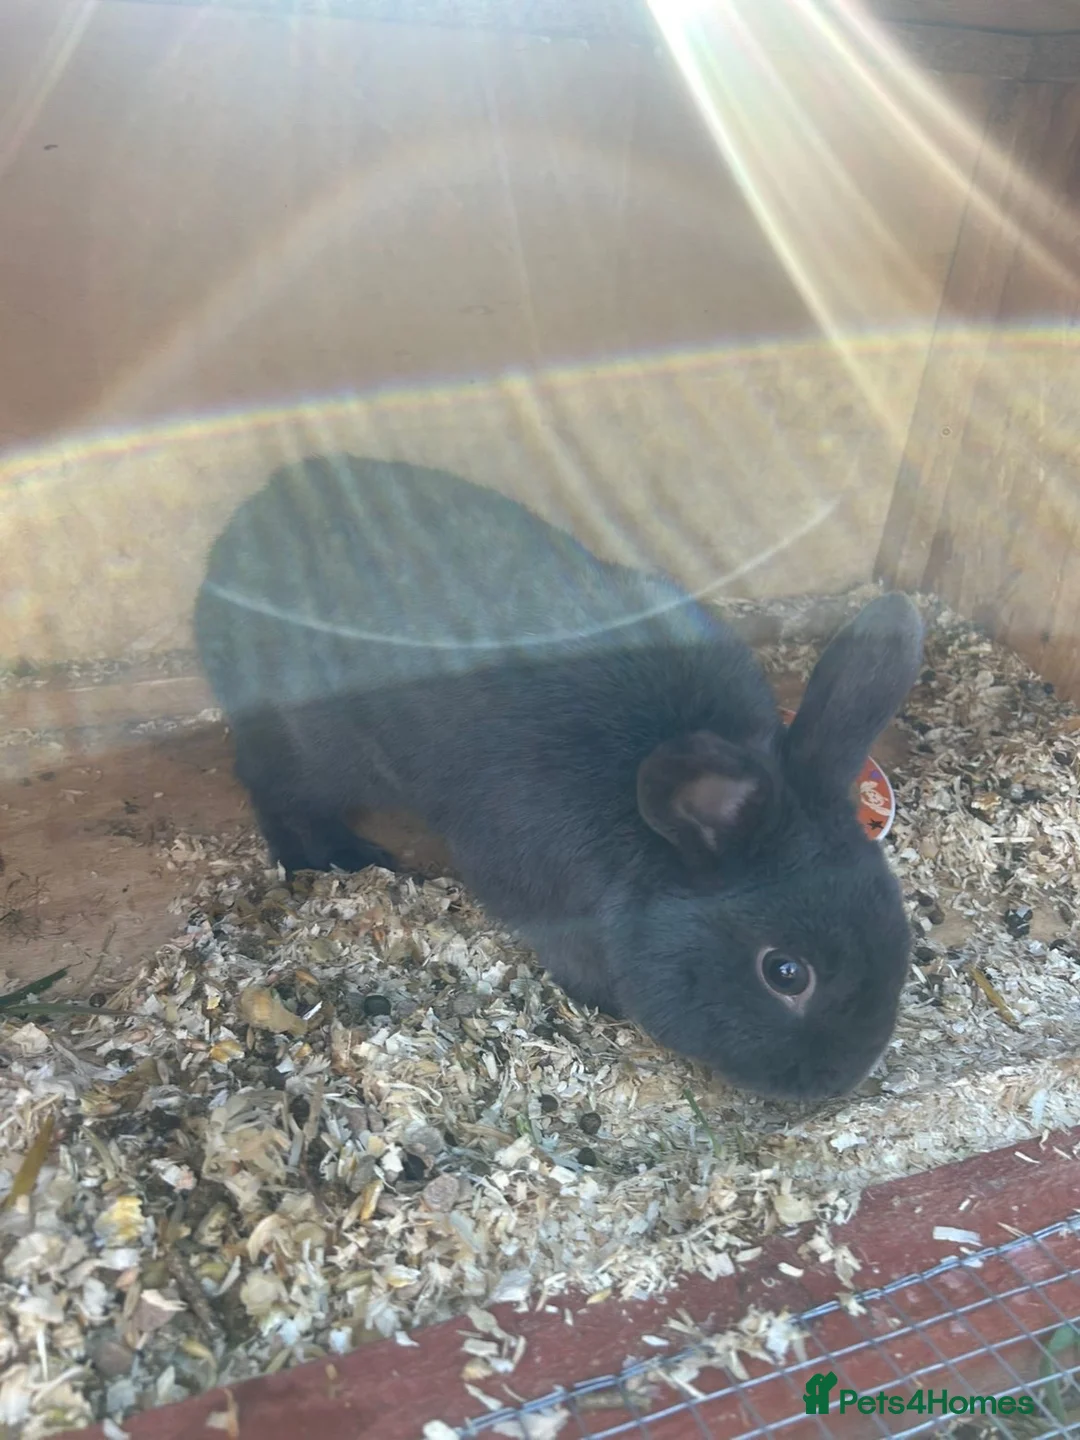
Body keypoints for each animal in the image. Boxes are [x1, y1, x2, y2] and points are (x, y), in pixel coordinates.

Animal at [194, 452, 923, 1102]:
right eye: (785, 973)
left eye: (899, 925)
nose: (840, 1079)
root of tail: (232, 543)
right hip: (312, 750)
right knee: (273, 789)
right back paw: (335, 858)